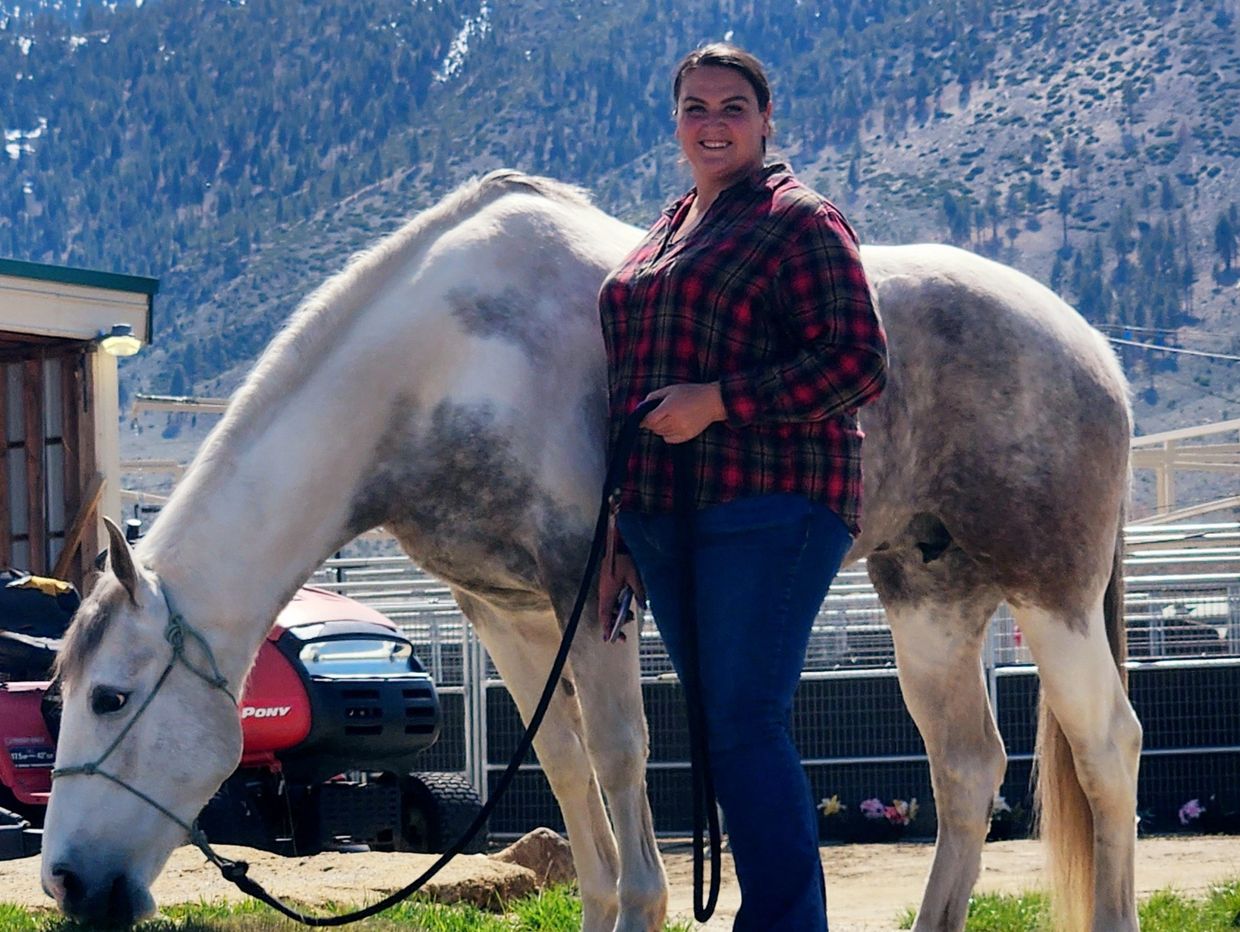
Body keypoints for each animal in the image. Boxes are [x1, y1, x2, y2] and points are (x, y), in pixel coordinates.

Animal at [40, 170, 1138, 932]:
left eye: (111, 698)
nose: (64, 881)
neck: (444, 367)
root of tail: (1088, 345)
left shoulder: (591, 589)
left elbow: (619, 756)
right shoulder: (507, 612)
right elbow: (566, 770)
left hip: (1053, 596)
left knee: (1106, 746)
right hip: (931, 596)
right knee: (966, 766)